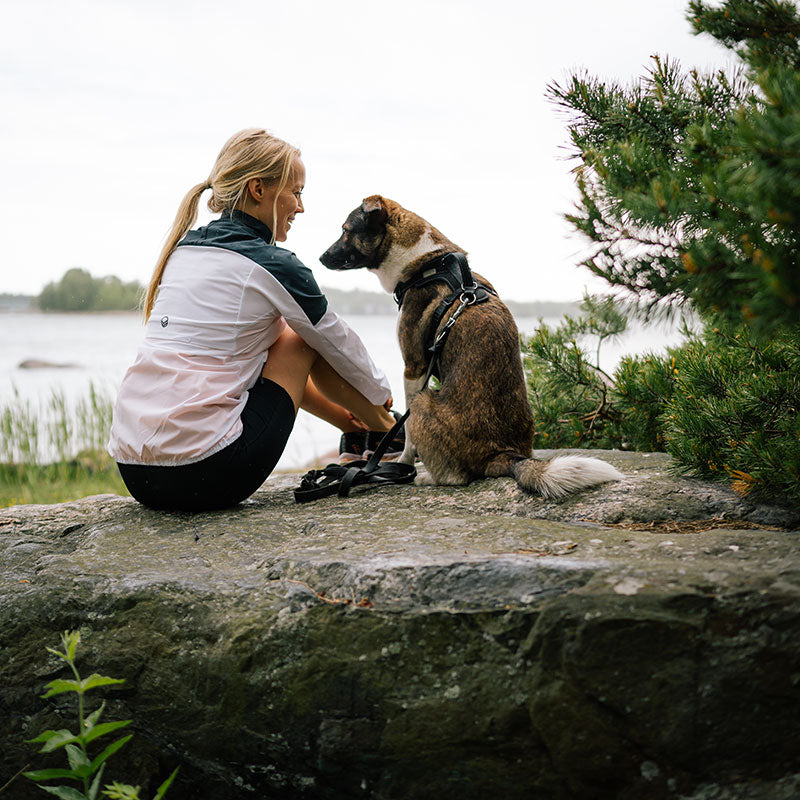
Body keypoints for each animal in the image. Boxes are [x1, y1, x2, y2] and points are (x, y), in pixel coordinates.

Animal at [320, 197, 624, 496]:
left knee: (456, 477)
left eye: (346, 230)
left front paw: (404, 464)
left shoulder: (414, 367)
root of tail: (502, 455)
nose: (321, 258)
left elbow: (407, 437)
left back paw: (426, 477)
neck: (425, 264)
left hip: (423, 401)